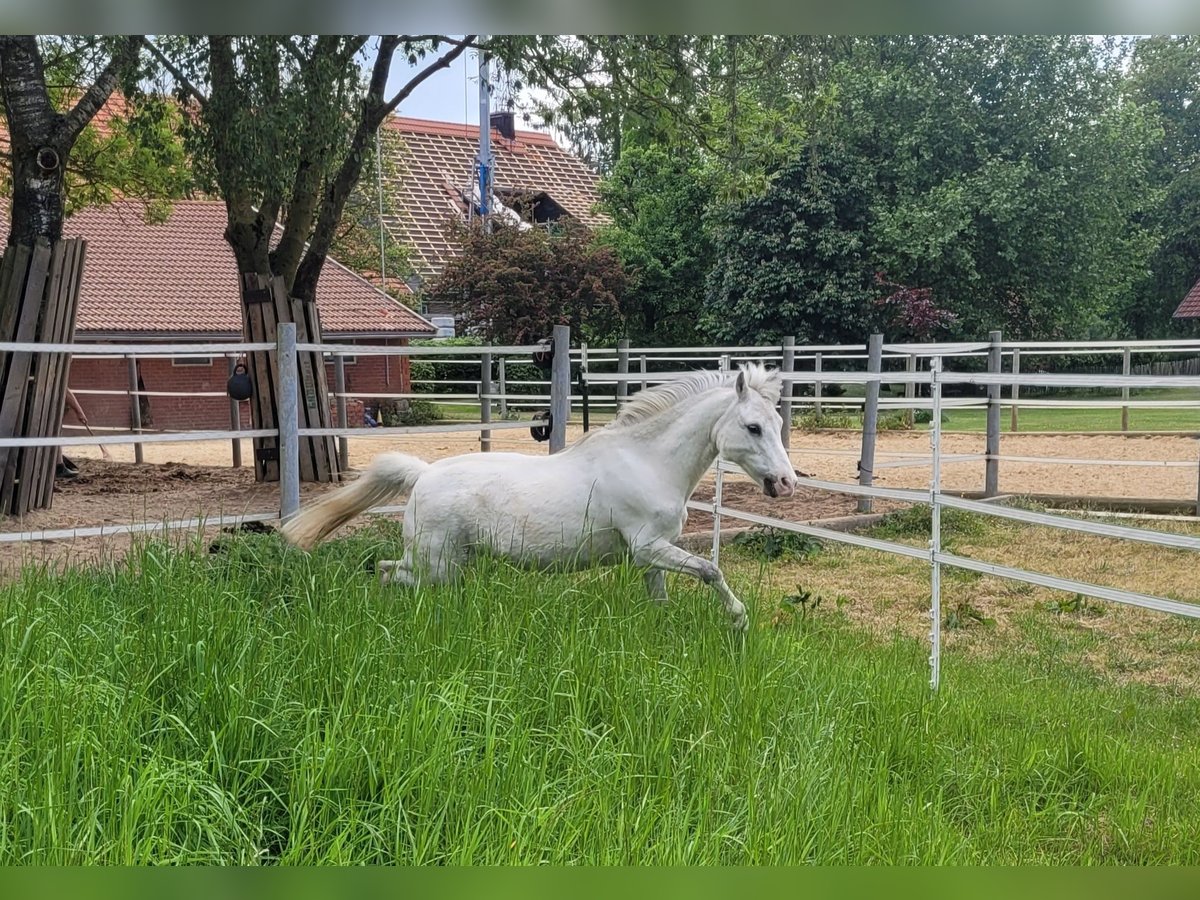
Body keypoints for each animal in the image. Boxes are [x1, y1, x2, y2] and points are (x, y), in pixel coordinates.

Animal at [280, 363, 797, 630]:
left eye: (777, 422)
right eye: (753, 426)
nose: (786, 483)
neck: (648, 462)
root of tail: (422, 474)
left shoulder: (651, 555)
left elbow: (662, 600)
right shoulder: (649, 545)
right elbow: (711, 570)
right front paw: (739, 620)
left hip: (447, 563)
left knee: (386, 571)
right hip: (437, 564)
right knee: (389, 574)